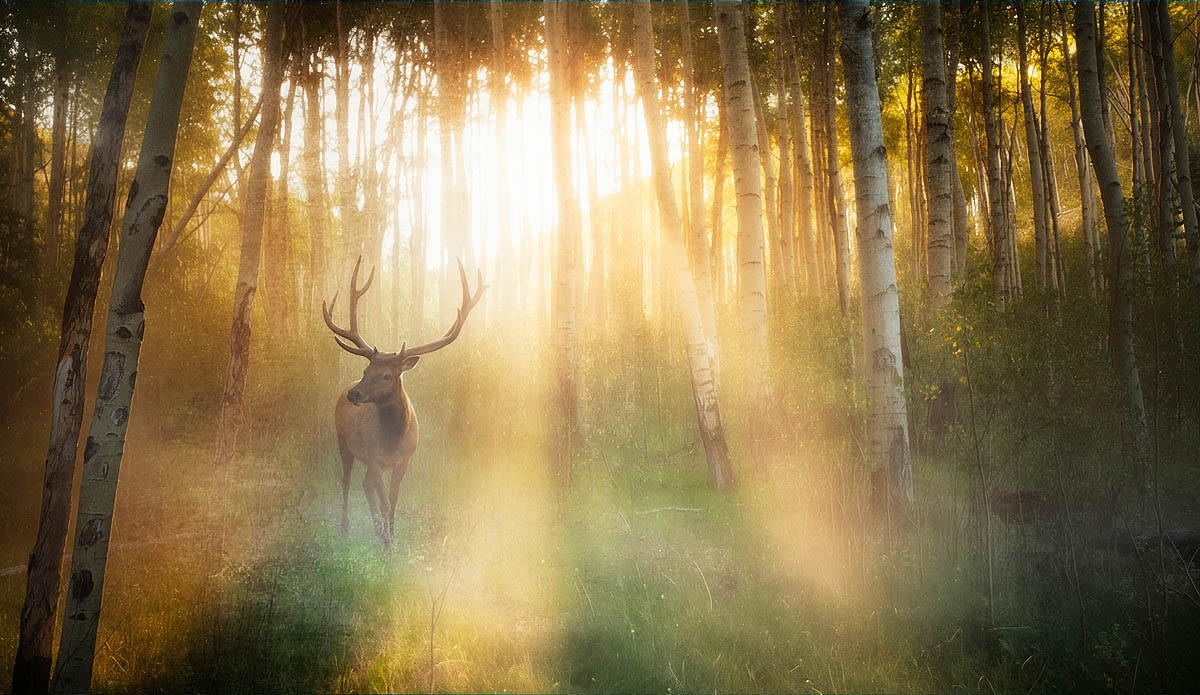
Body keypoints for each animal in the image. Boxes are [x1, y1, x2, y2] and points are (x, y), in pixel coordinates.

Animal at [322, 256, 486, 547]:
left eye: (387, 375)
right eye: (366, 370)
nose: (355, 394)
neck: (392, 440)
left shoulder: (404, 460)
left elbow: (394, 500)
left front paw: (391, 536)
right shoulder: (374, 456)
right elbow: (385, 499)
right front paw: (388, 543)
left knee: (364, 484)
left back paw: (377, 529)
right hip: (343, 441)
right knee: (346, 480)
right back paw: (345, 526)